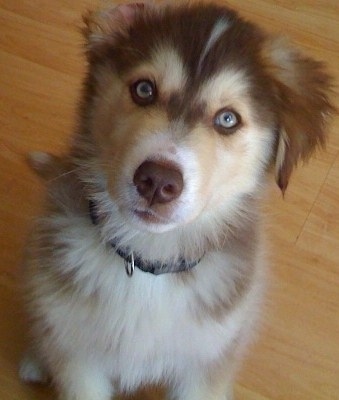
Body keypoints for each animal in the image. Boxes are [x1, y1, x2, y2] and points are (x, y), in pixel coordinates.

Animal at [19, 1, 334, 398]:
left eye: (228, 119)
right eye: (143, 89)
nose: (157, 181)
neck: (148, 264)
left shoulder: (208, 365)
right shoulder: (78, 358)